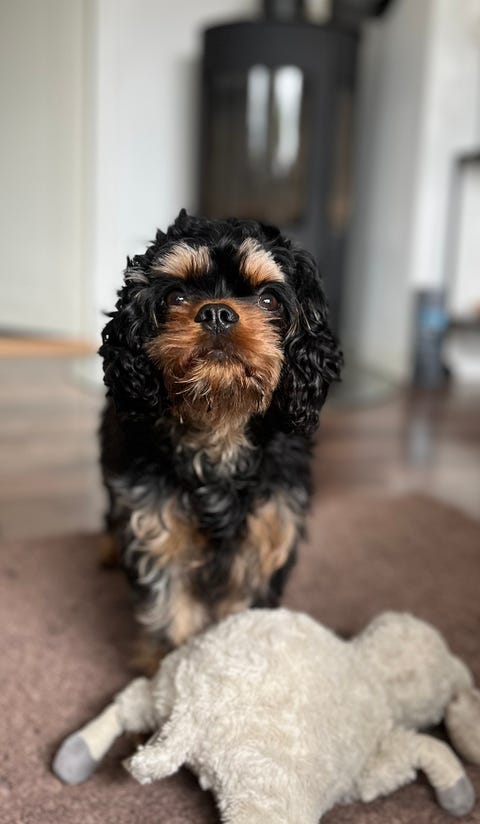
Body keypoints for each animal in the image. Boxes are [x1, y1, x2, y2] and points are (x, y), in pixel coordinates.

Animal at [99, 210, 341, 667]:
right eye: (176, 296)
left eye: (268, 300)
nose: (216, 313)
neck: (219, 427)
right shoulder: (159, 535)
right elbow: (172, 620)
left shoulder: (265, 539)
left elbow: (241, 621)